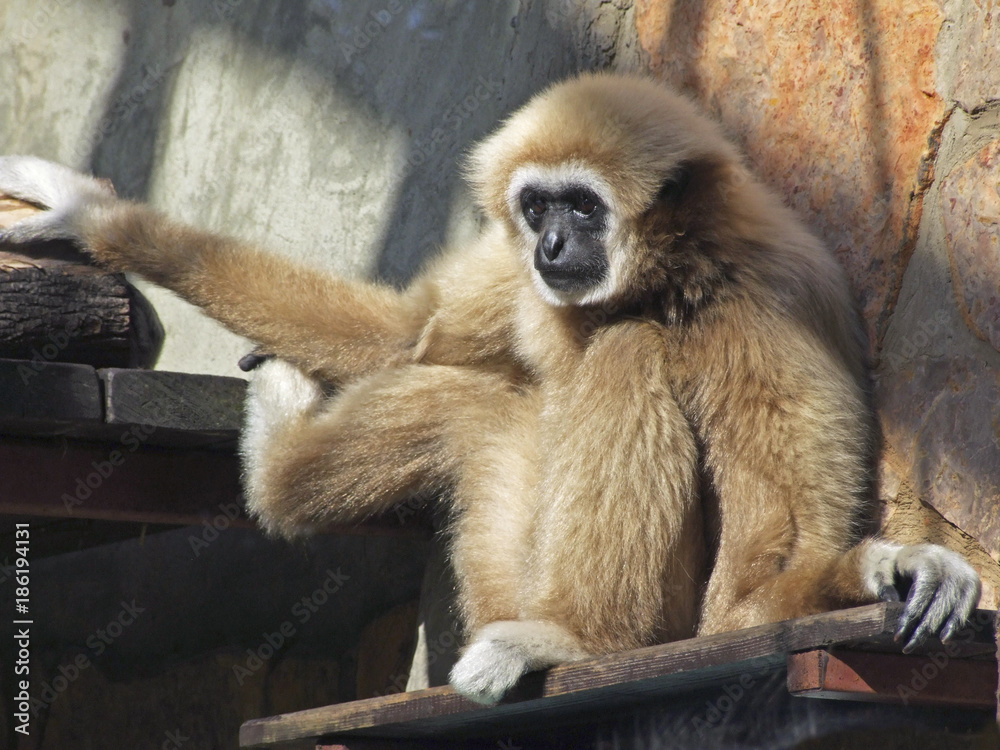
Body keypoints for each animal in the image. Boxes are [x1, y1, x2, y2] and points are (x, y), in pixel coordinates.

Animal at [0, 73, 981, 706]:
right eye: (538, 206)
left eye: (582, 207)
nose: (549, 246)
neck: (673, 276)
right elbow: (409, 329)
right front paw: (92, 216)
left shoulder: (771, 310)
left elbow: (764, 573)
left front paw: (888, 565)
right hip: (506, 570)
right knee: (482, 401)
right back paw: (280, 467)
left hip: (638, 613)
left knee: (623, 357)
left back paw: (573, 638)